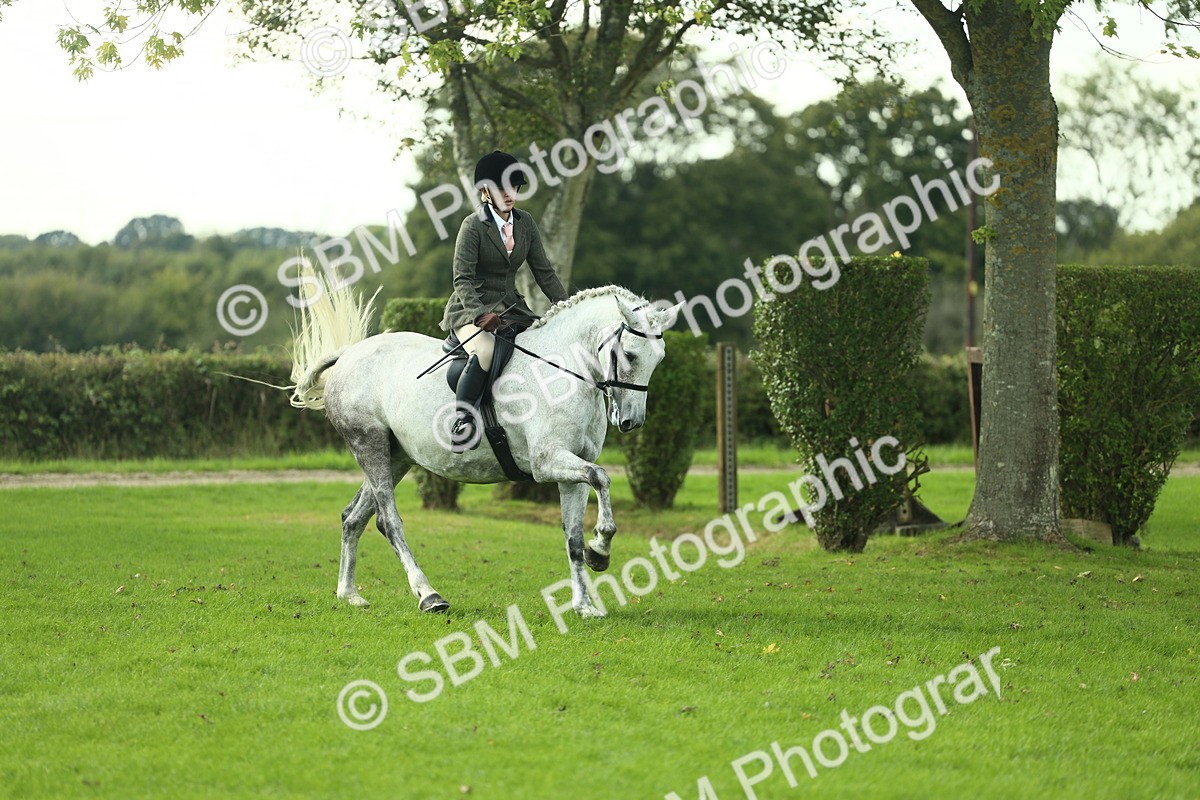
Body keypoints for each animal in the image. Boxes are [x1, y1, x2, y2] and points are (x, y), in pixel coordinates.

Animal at [286, 277, 683, 617]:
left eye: (660, 357)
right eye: (630, 355)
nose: (631, 422)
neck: (563, 371)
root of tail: (349, 354)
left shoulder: (573, 469)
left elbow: (573, 535)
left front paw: (585, 604)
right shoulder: (546, 462)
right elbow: (602, 478)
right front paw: (600, 550)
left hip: (396, 457)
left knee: (353, 517)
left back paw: (349, 594)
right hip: (369, 446)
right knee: (389, 521)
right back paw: (428, 595)